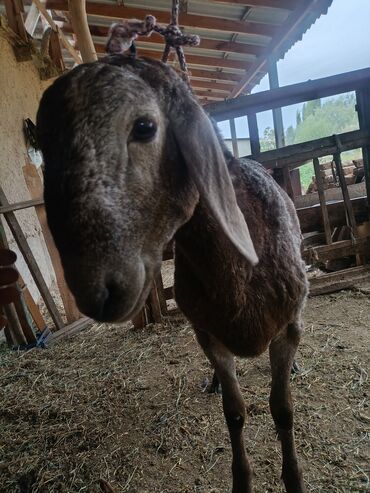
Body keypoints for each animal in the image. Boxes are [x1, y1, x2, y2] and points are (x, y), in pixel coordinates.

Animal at [37, 54, 308, 492]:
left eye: (145, 127)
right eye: (42, 146)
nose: (97, 289)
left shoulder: (286, 328)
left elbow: (282, 410)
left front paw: (294, 477)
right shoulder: (206, 333)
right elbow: (234, 412)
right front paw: (241, 479)